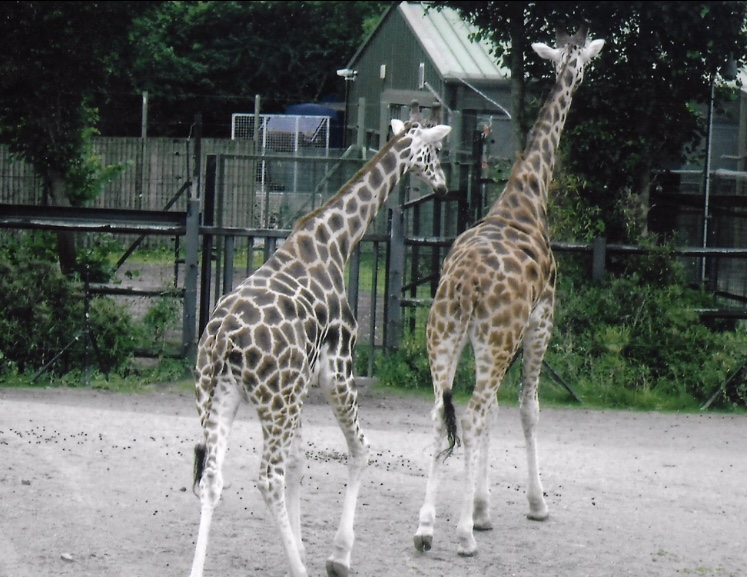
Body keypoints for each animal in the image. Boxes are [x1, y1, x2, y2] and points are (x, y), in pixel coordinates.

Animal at [188, 110, 451, 577]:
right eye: (434, 152)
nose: (442, 184)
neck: (336, 241)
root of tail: (222, 340)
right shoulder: (337, 368)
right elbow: (360, 449)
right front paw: (337, 555)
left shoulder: (302, 385)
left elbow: (300, 462)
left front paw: (301, 544)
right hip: (274, 401)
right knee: (267, 478)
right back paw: (301, 569)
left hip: (219, 395)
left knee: (214, 478)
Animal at [413, 27, 604, 557]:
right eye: (582, 63)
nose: (581, 78)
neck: (526, 198)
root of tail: (465, 285)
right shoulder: (541, 320)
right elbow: (527, 409)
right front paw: (532, 506)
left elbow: (496, 412)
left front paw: (483, 510)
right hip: (496, 340)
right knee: (473, 414)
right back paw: (460, 536)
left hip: (445, 337)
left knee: (441, 414)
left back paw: (425, 529)